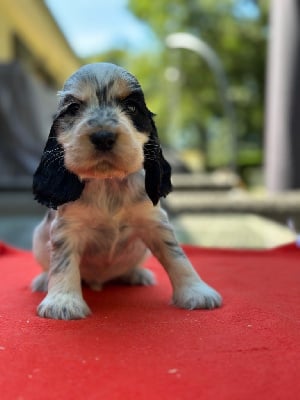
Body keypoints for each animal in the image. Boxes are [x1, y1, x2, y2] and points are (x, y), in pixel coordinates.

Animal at [31, 62, 221, 318]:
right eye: (73, 108)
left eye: (131, 107)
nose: (103, 136)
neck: (108, 182)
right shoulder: (68, 227)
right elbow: (63, 263)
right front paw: (63, 302)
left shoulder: (154, 223)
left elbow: (176, 256)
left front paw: (196, 291)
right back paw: (43, 280)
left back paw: (137, 274)